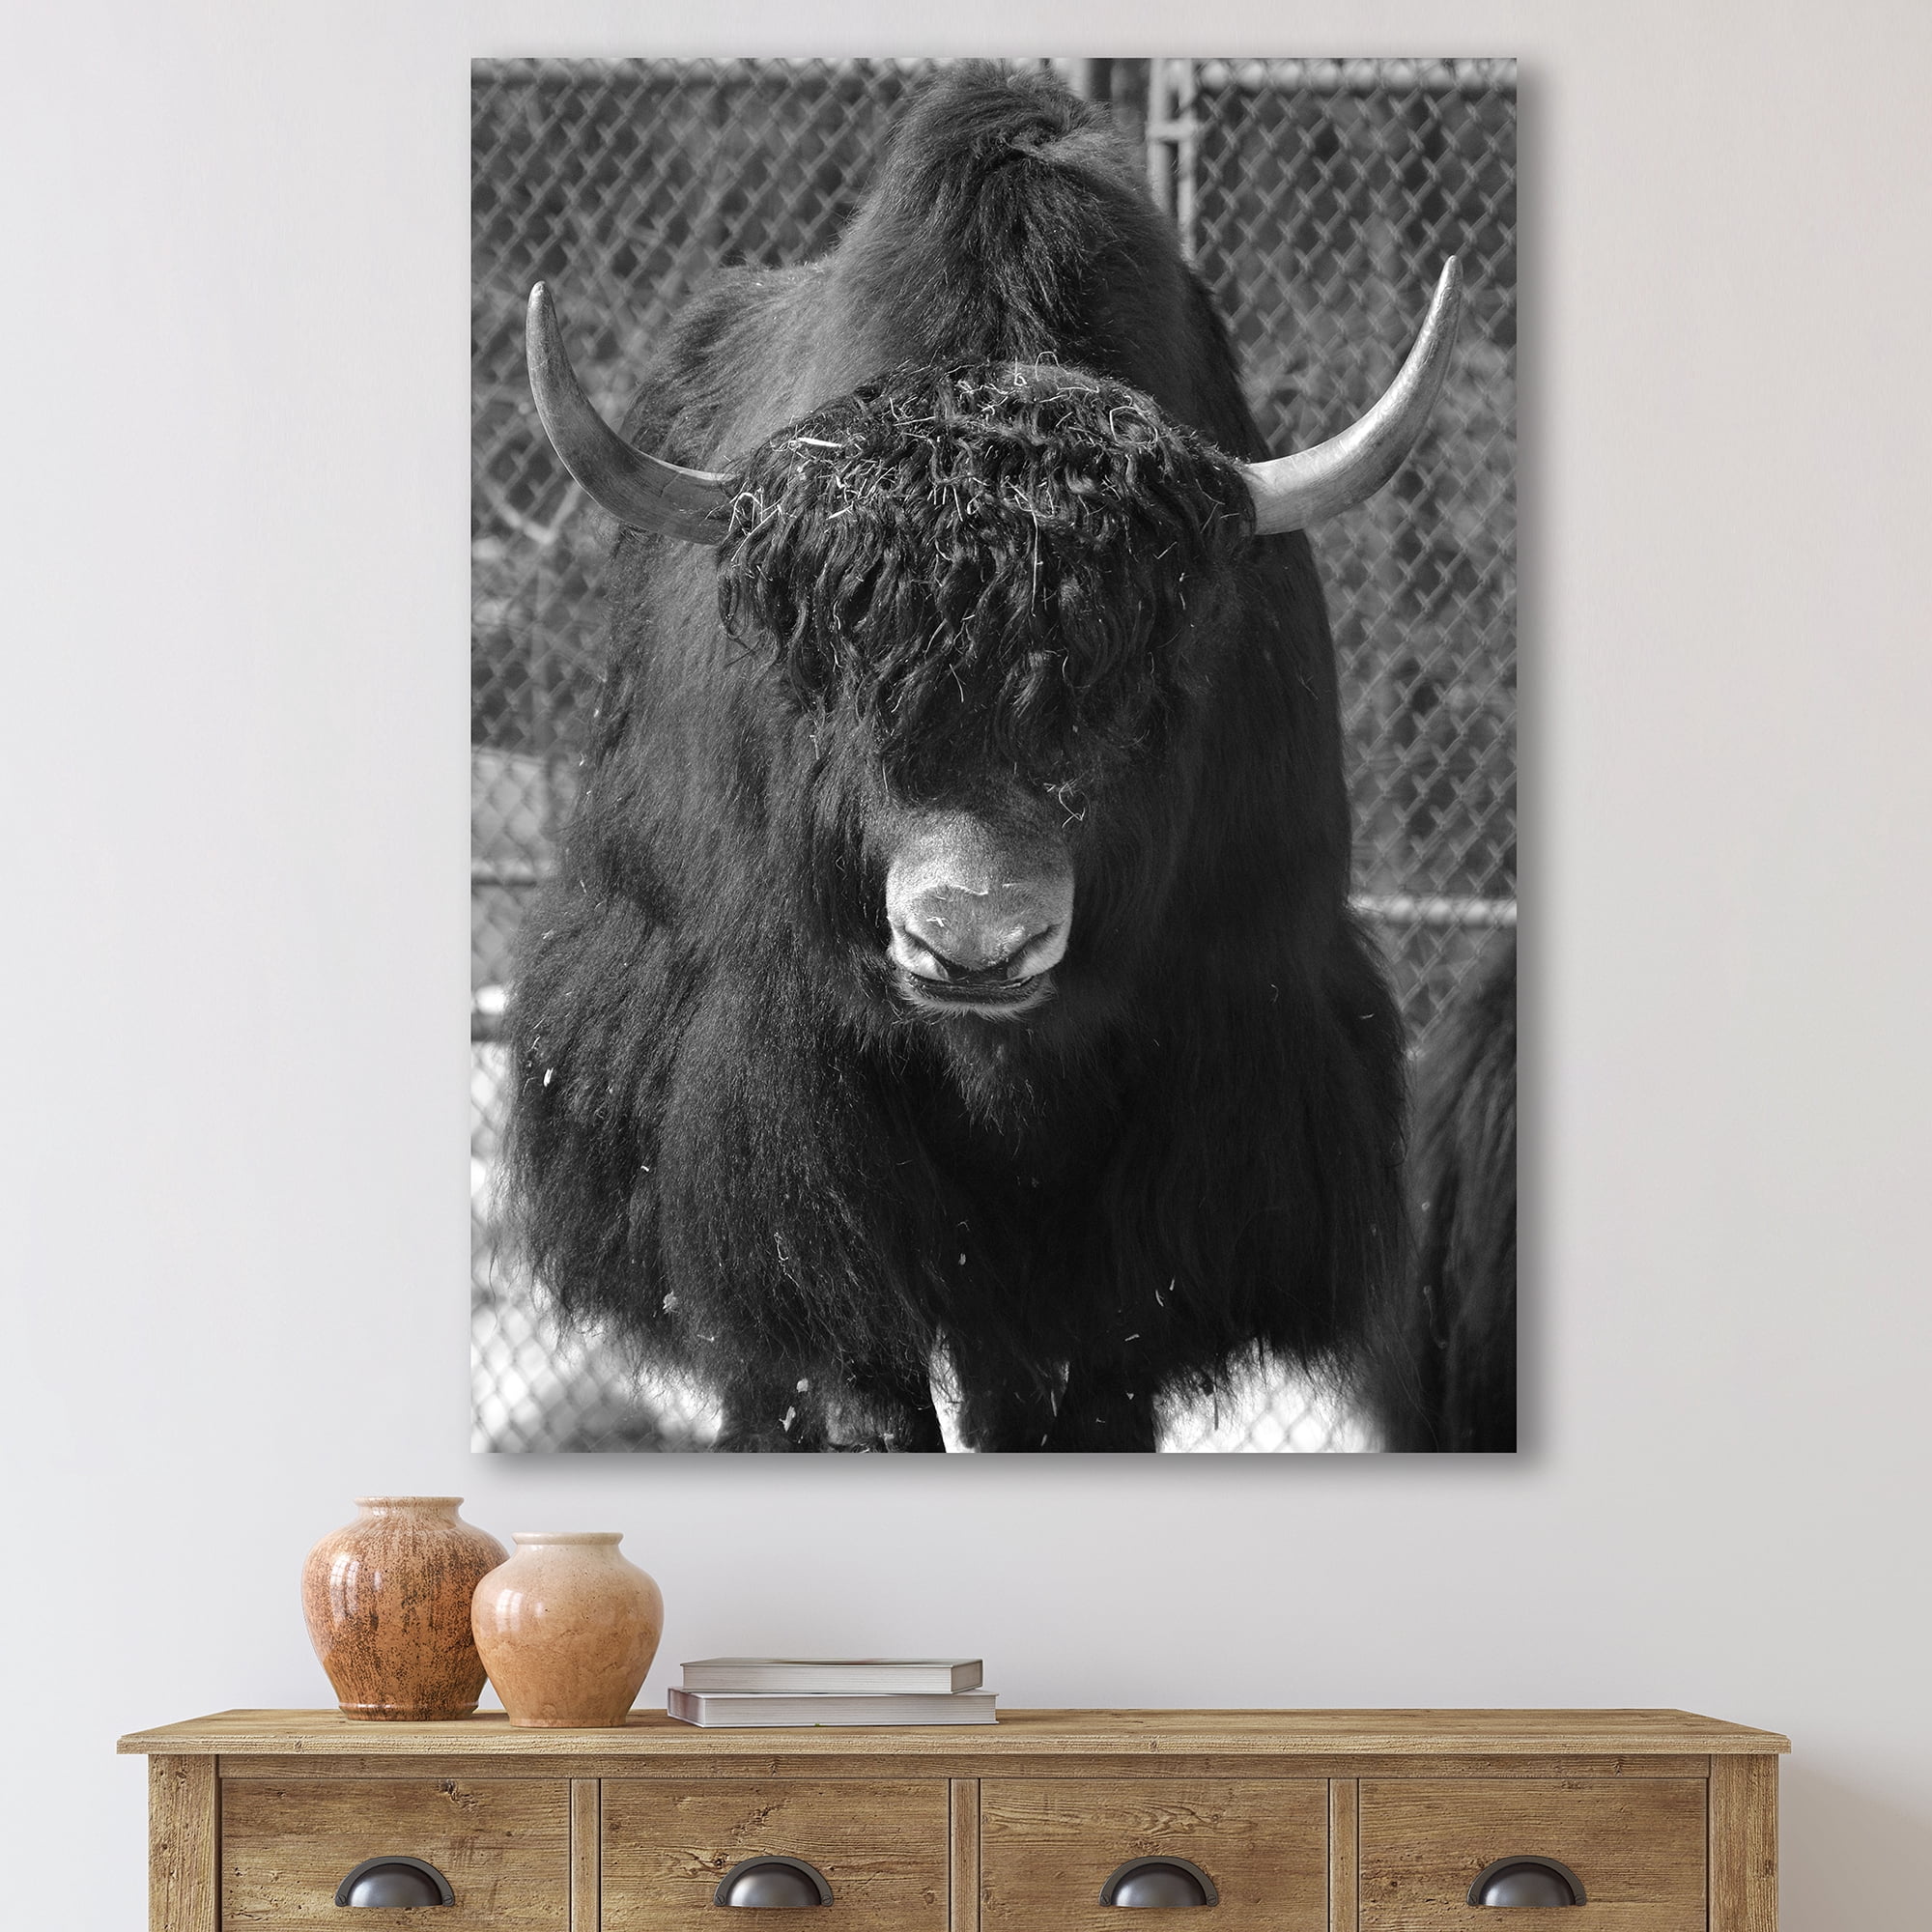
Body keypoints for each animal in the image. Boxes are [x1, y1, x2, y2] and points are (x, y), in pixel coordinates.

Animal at [503, 63, 1464, 1451]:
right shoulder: (787, 1127)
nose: (972, 942)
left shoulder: (1204, 1104)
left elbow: (1090, 1389)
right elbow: (854, 1372)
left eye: (1137, 690)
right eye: (834, 681)